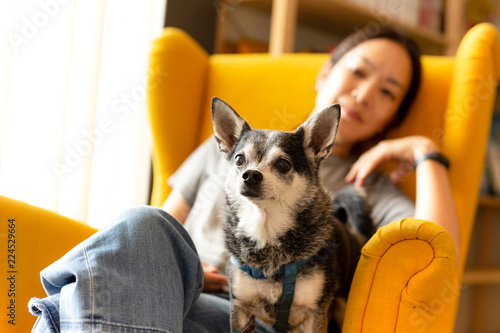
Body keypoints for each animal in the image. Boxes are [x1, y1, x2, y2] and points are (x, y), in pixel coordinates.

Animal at [211, 97, 372, 330]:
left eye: (282, 164)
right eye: (240, 160)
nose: (250, 175)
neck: (266, 232)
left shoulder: (315, 314)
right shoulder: (240, 310)